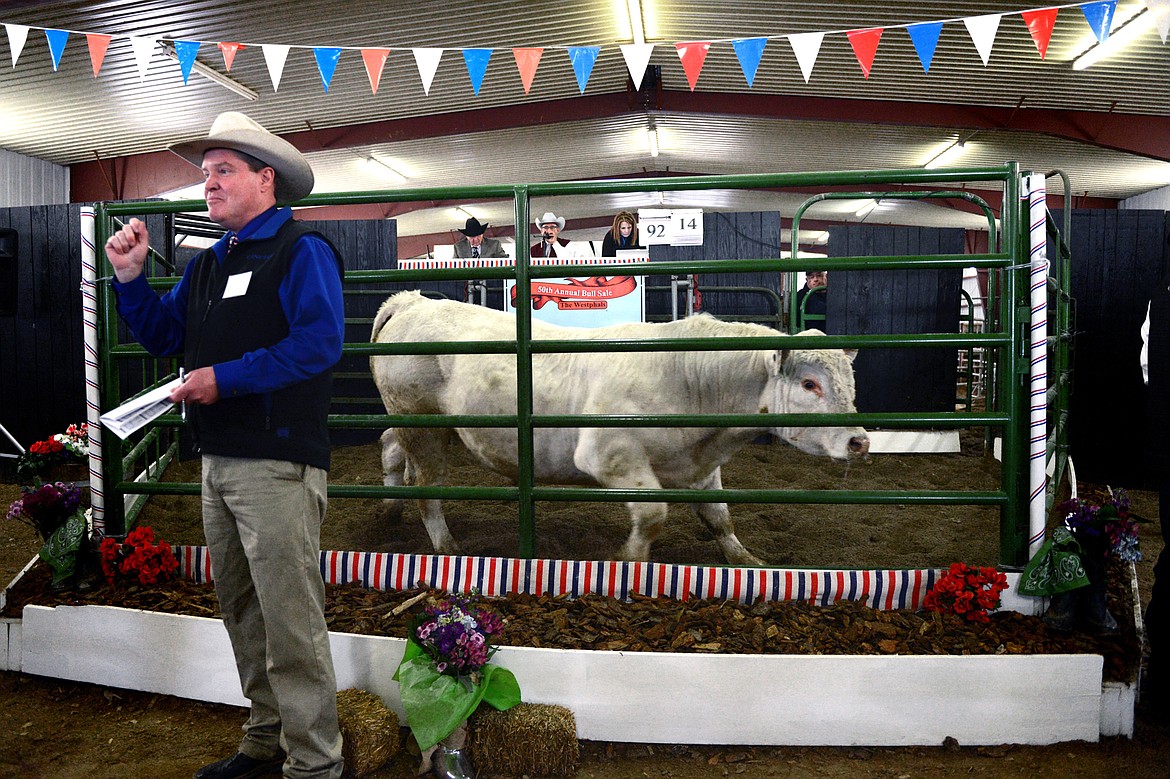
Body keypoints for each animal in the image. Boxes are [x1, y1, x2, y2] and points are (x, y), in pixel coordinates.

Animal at [367, 291, 870, 563]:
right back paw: (446, 547)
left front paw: (745, 559)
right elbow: (652, 515)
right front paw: (627, 562)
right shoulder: (609, 455)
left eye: (850, 382)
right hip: (423, 424)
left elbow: (719, 517)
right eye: (810, 383)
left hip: (415, 423)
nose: (859, 441)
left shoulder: (700, 464)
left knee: (390, 447)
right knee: (427, 485)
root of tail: (410, 303)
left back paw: (390, 511)